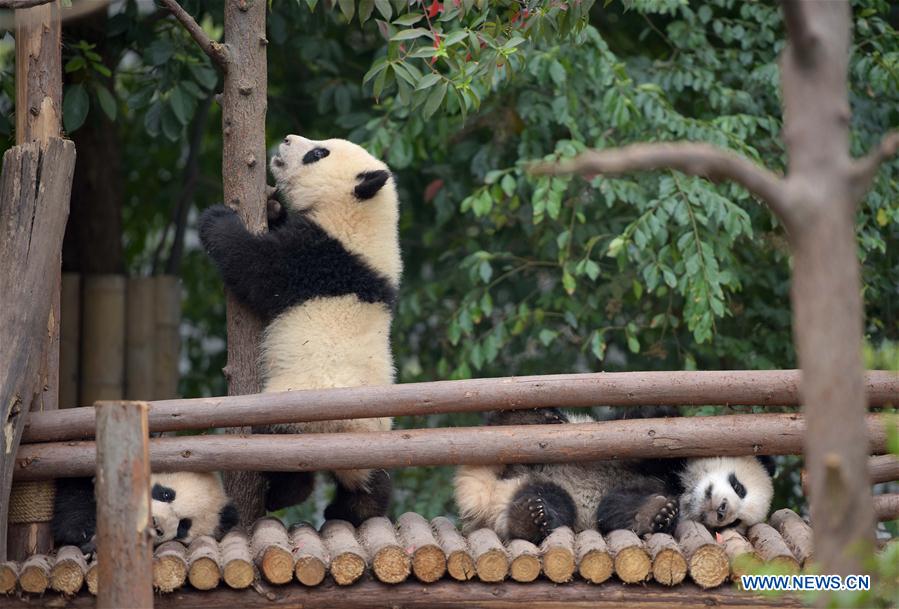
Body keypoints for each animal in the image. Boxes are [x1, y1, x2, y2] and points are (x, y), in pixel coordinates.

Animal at [204, 134, 404, 524]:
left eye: (317, 153)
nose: (285, 139)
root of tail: (345, 437)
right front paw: (272, 208)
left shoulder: (319, 258)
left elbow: (256, 268)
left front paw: (217, 218)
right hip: (373, 438)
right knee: (372, 482)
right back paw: (354, 510)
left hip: (296, 406)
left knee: (280, 449)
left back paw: (283, 493)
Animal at [454, 408, 776, 540]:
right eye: (739, 486)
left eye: (734, 522)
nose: (722, 511)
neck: (683, 487)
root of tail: (484, 496)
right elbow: (646, 426)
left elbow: (614, 509)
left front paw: (658, 515)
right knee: (520, 422)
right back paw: (539, 417)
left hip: (534, 493)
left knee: (553, 502)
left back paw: (527, 519)